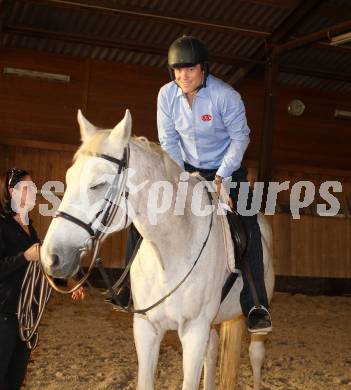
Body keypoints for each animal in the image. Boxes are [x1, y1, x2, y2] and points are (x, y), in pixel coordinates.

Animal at [41, 109, 276, 390]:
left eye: (98, 185)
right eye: (68, 178)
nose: (51, 257)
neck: (171, 252)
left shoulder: (194, 331)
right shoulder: (146, 329)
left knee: (255, 354)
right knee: (212, 351)